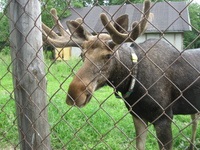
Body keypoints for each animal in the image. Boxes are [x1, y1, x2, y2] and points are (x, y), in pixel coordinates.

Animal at [41, 0, 199, 149]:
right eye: (82, 55)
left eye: (108, 55)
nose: (74, 94)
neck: (134, 83)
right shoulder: (137, 115)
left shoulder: (164, 117)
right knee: (194, 120)